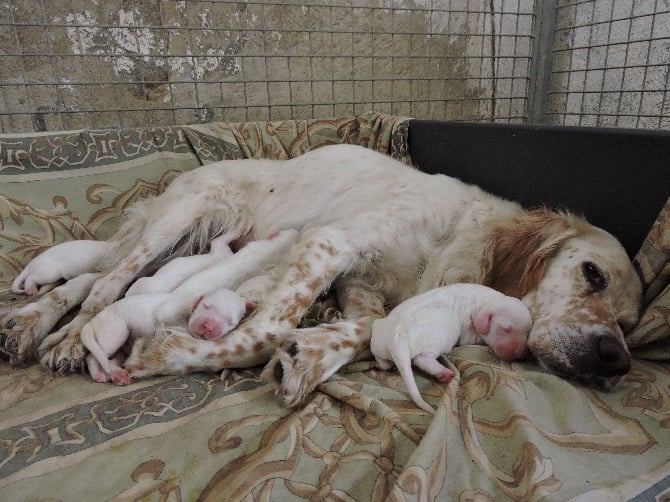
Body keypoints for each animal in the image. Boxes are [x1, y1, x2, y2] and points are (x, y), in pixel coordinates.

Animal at [370, 284, 532, 414]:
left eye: (527, 331)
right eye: (506, 329)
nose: (520, 354)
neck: (488, 302)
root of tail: (396, 335)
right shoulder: (469, 331)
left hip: (378, 334)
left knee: (381, 357)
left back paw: (384, 363)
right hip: (446, 329)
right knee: (421, 359)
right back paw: (443, 373)